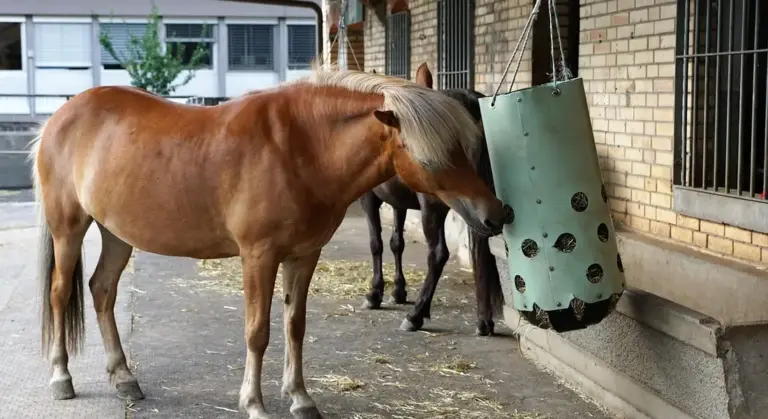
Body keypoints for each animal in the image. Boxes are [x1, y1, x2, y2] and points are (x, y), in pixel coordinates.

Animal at [359, 63, 505, 337]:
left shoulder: (369, 200)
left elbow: (376, 244)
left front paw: (374, 294)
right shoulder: (399, 203)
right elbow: (396, 243)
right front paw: (398, 291)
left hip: (437, 208)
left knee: (437, 254)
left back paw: (416, 315)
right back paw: (483, 320)